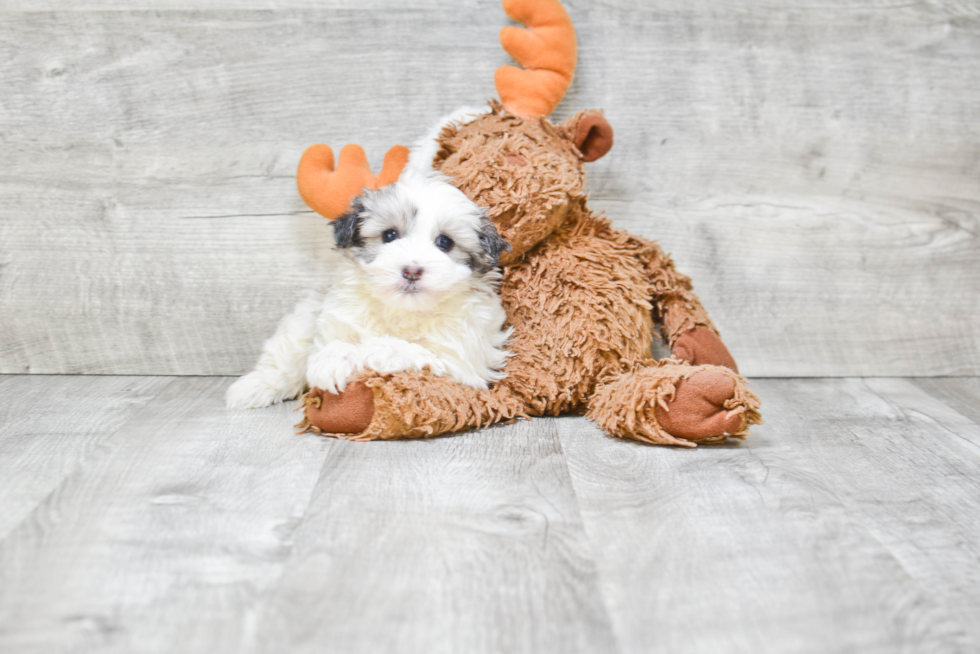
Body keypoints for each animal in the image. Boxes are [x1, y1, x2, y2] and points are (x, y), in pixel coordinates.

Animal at [223, 172, 512, 412]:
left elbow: (409, 349)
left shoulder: (463, 360)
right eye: (390, 235)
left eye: (445, 242)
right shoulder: (330, 318)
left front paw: (359, 353)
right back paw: (252, 387)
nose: (411, 270)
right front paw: (328, 360)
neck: (401, 309)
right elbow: (311, 347)